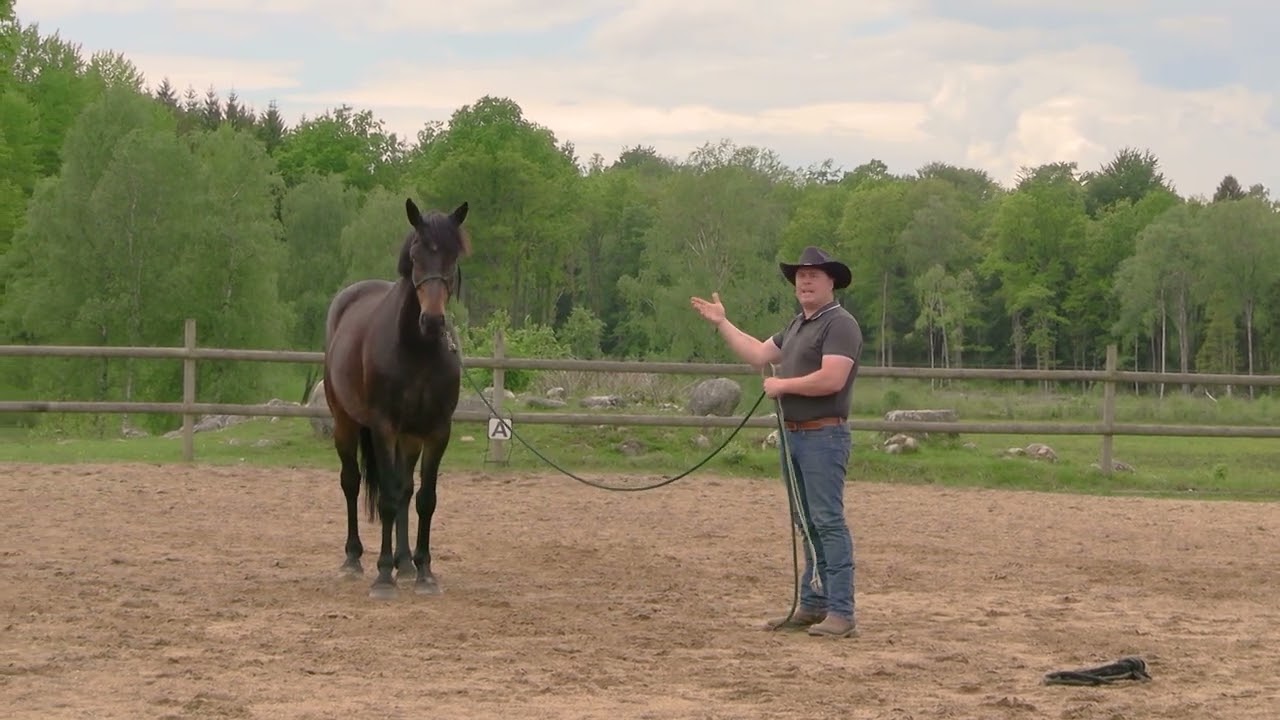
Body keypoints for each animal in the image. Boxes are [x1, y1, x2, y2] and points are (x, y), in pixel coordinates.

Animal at [322, 197, 471, 599]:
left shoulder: (436, 432)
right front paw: (383, 576)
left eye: (453, 256)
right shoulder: (384, 428)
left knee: (405, 491)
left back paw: (405, 564)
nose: (432, 322)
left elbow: (423, 499)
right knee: (351, 482)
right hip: (346, 423)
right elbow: (386, 497)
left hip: (410, 437)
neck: (418, 352)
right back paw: (354, 560)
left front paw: (423, 572)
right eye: (416, 256)